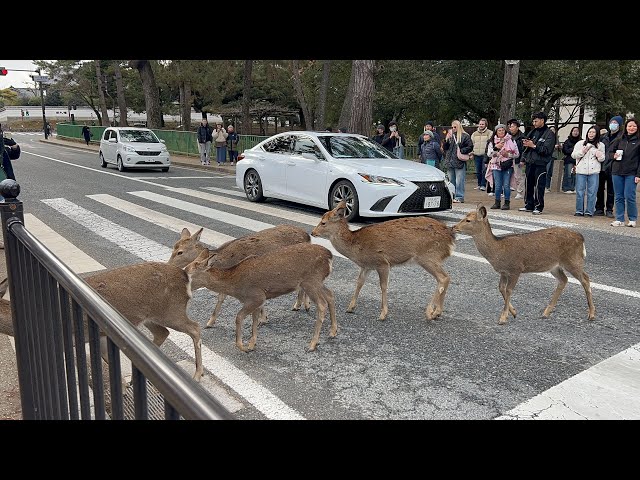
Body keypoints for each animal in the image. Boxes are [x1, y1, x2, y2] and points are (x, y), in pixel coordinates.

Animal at [169, 225, 312, 326]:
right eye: (173, 247)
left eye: (180, 252)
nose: (168, 264)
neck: (223, 262)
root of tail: (308, 236)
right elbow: (221, 298)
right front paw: (210, 322)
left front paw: (263, 319)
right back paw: (299, 305)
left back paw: (304, 305)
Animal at [184, 244, 338, 352]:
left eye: (188, 274)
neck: (236, 286)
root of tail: (329, 256)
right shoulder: (257, 300)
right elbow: (254, 320)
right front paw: (252, 344)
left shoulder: (256, 296)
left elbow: (239, 317)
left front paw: (243, 346)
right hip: (317, 281)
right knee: (330, 295)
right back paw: (332, 332)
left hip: (311, 281)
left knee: (322, 304)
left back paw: (312, 345)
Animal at [312, 199, 456, 322]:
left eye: (323, 222)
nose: (313, 232)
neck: (356, 247)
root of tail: (450, 234)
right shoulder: (366, 266)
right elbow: (359, 283)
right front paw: (350, 307)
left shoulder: (382, 262)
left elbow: (383, 286)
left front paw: (383, 314)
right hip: (431, 257)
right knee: (445, 278)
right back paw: (437, 312)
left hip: (427, 256)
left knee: (443, 278)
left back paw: (430, 312)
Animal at [450, 204, 596, 324]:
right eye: (465, 217)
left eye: (468, 220)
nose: (453, 227)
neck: (498, 251)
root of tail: (581, 238)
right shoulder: (504, 271)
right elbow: (501, 288)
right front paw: (514, 312)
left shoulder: (516, 268)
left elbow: (509, 290)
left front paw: (503, 318)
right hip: (555, 266)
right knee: (564, 280)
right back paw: (546, 312)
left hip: (572, 260)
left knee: (585, 279)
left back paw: (591, 314)